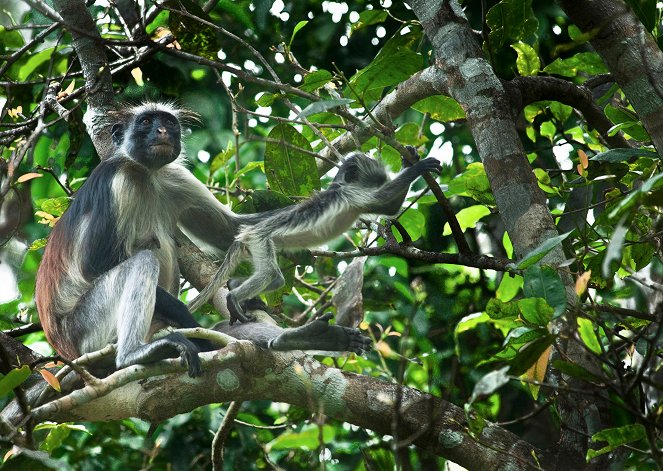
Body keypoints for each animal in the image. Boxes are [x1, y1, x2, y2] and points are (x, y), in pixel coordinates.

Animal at [189, 151, 444, 324]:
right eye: (377, 172)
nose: (385, 174)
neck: (340, 184)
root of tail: (246, 233)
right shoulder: (352, 193)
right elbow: (386, 201)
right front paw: (417, 167)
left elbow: (390, 208)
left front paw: (408, 161)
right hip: (259, 239)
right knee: (272, 274)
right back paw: (234, 298)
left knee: (275, 279)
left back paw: (236, 288)